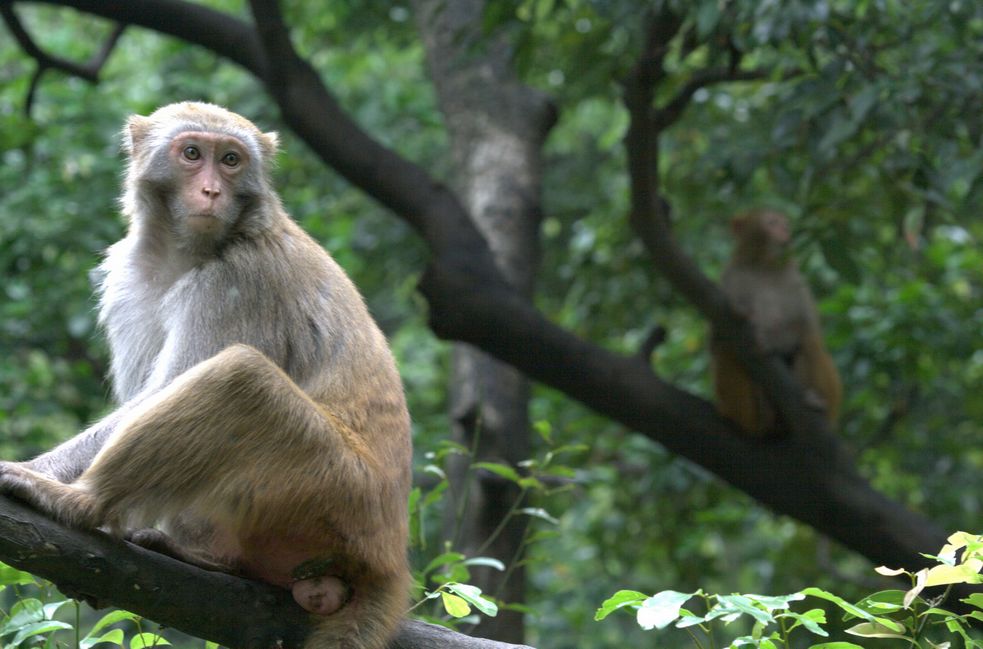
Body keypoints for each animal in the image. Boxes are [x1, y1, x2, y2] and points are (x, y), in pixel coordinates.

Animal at [0, 101, 412, 648]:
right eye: (192, 154)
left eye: (231, 160)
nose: (212, 190)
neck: (187, 251)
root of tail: (392, 558)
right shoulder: (127, 277)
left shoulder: (238, 282)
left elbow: (164, 391)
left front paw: (42, 471)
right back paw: (213, 558)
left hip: (340, 493)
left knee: (241, 379)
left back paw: (79, 503)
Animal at [712, 210, 840, 436]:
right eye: (771, 222)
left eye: (785, 224)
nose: (784, 232)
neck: (766, 266)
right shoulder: (730, 280)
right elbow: (716, 340)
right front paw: (744, 314)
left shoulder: (797, 284)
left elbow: (805, 329)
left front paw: (770, 340)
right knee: (726, 351)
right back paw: (753, 419)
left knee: (810, 342)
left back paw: (816, 403)